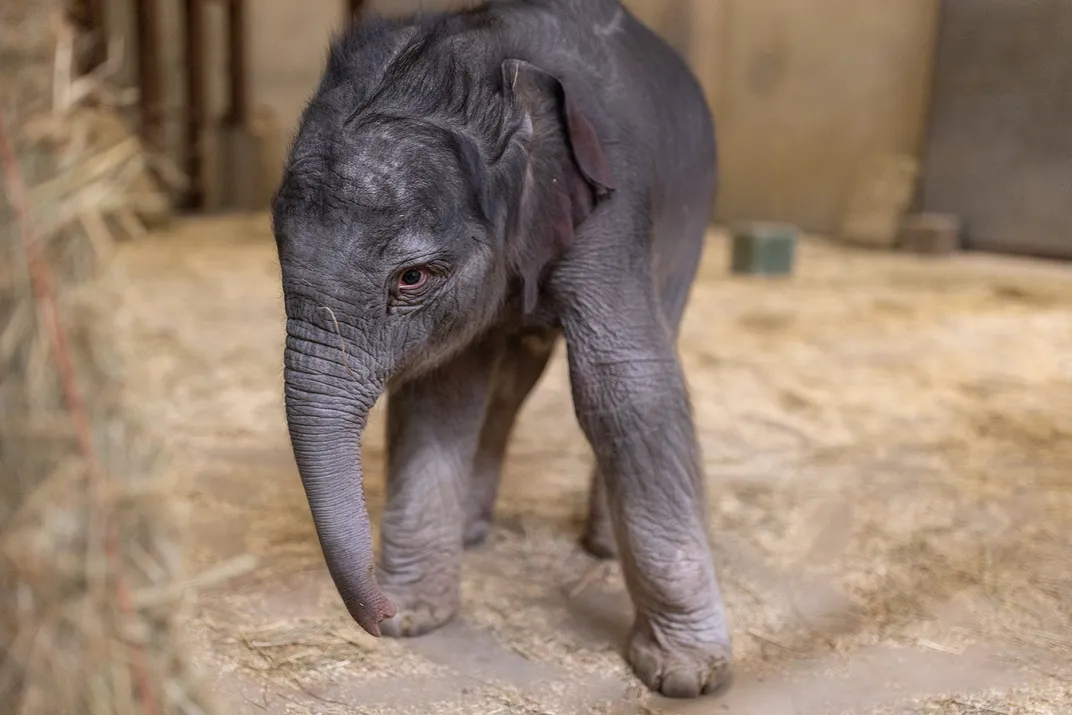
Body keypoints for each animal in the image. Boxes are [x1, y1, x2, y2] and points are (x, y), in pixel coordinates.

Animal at [271, 0, 731, 698]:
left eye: (412, 278)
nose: (376, 616)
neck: (483, 61)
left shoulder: (614, 203)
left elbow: (623, 386)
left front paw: (687, 677)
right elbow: (441, 386)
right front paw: (415, 617)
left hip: (691, 224)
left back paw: (601, 547)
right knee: (508, 376)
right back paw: (472, 528)